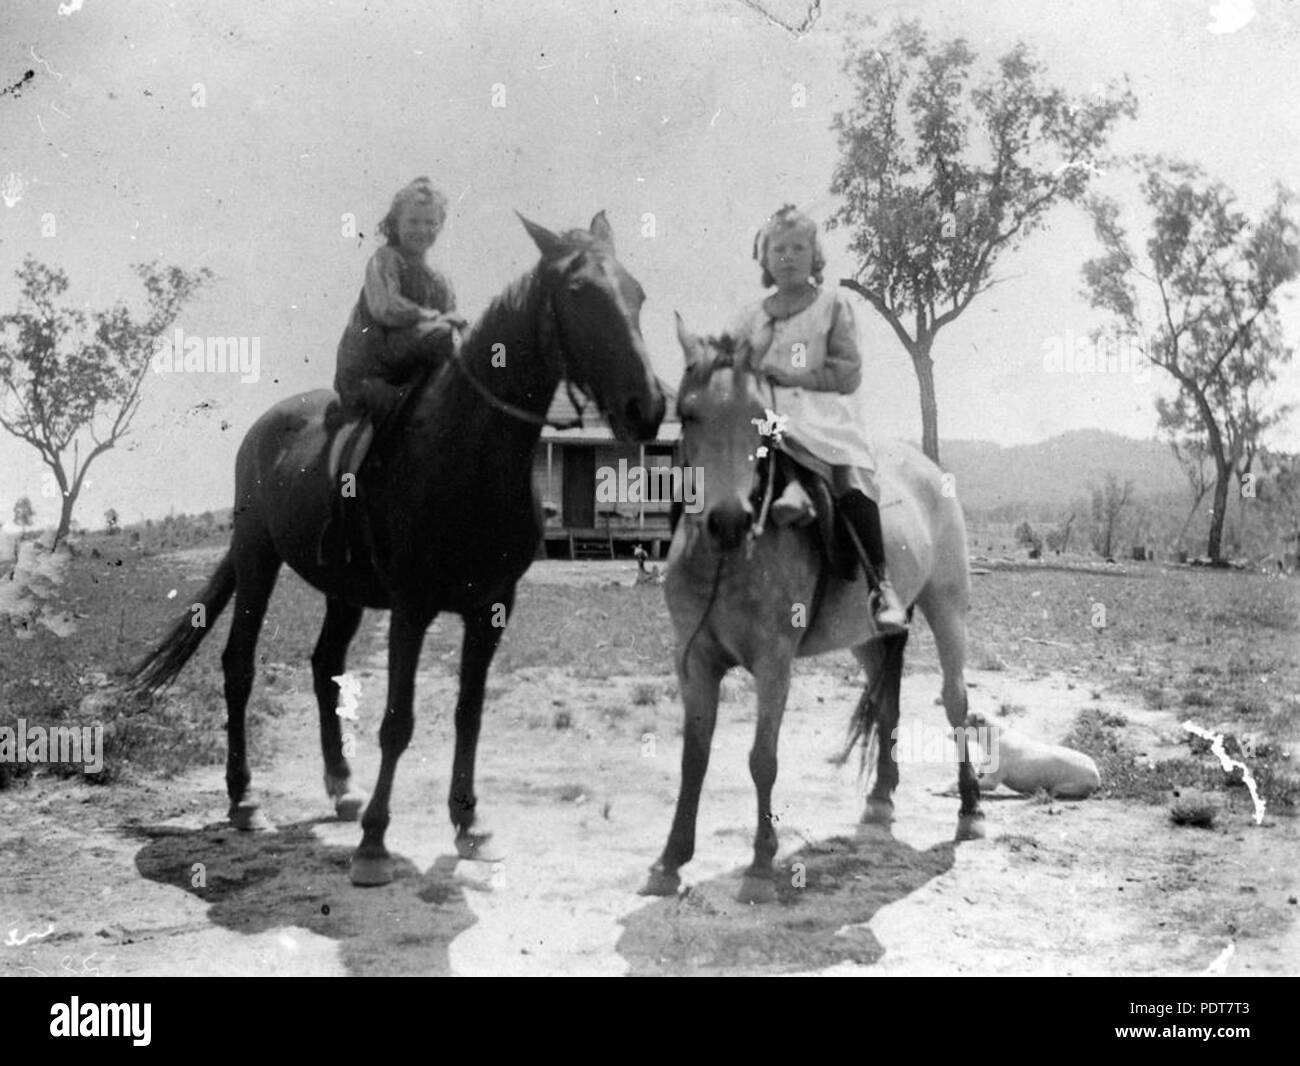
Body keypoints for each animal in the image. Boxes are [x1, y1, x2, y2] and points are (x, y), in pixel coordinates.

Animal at [132, 212, 665, 887]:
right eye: (578, 292)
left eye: (638, 293)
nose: (647, 408)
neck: (468, 448)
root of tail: (266, 427)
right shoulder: (412, 607)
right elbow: (397, 722)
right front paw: (374, 844)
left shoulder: (493, 609)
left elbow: (469, 712)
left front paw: (469, 824)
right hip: (257, 557)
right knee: (239, 666)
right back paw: (245, 798)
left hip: (343, 591)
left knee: (323, 665)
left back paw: (341, 787)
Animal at [639, 318, 983, 904]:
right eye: (687, 413)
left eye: (762, 420)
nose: (728, 521)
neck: (727, 561)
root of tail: (927, 468)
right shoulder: (694, 661)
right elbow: (694, 757)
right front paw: (670, 859)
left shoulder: (774, 662)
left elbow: (762, 759)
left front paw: (761, 862)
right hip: (868, 636)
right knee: (886, 704)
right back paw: (882, 797)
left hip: (948, 608)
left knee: (956, 702)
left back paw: (970, 805)